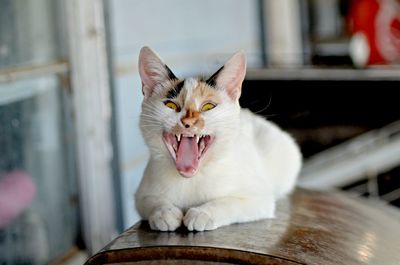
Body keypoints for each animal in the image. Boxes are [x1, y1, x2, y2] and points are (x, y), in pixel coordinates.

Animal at [134, 46, 300, 230]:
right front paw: (164, 212)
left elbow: (229, 203)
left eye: (208, 106)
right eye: (170, 105)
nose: (188, 122)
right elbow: (151, 201)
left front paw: (202, 213)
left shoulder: (259, 198)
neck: (191, 179)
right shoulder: (141, 195)